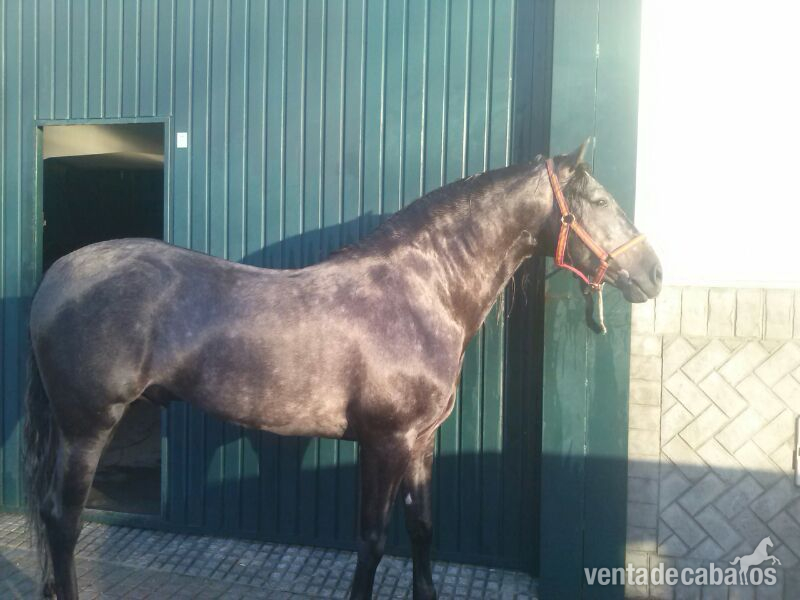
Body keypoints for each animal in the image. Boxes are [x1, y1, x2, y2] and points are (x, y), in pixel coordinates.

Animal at [23, 140, 661, 599]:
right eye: (599, 201)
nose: (654, 273)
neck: (421, 292)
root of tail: (59, 275)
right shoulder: (384, 442)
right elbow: (372, 541)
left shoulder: (420, 443)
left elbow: (422, 529)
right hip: (87, 427)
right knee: (62, 519)